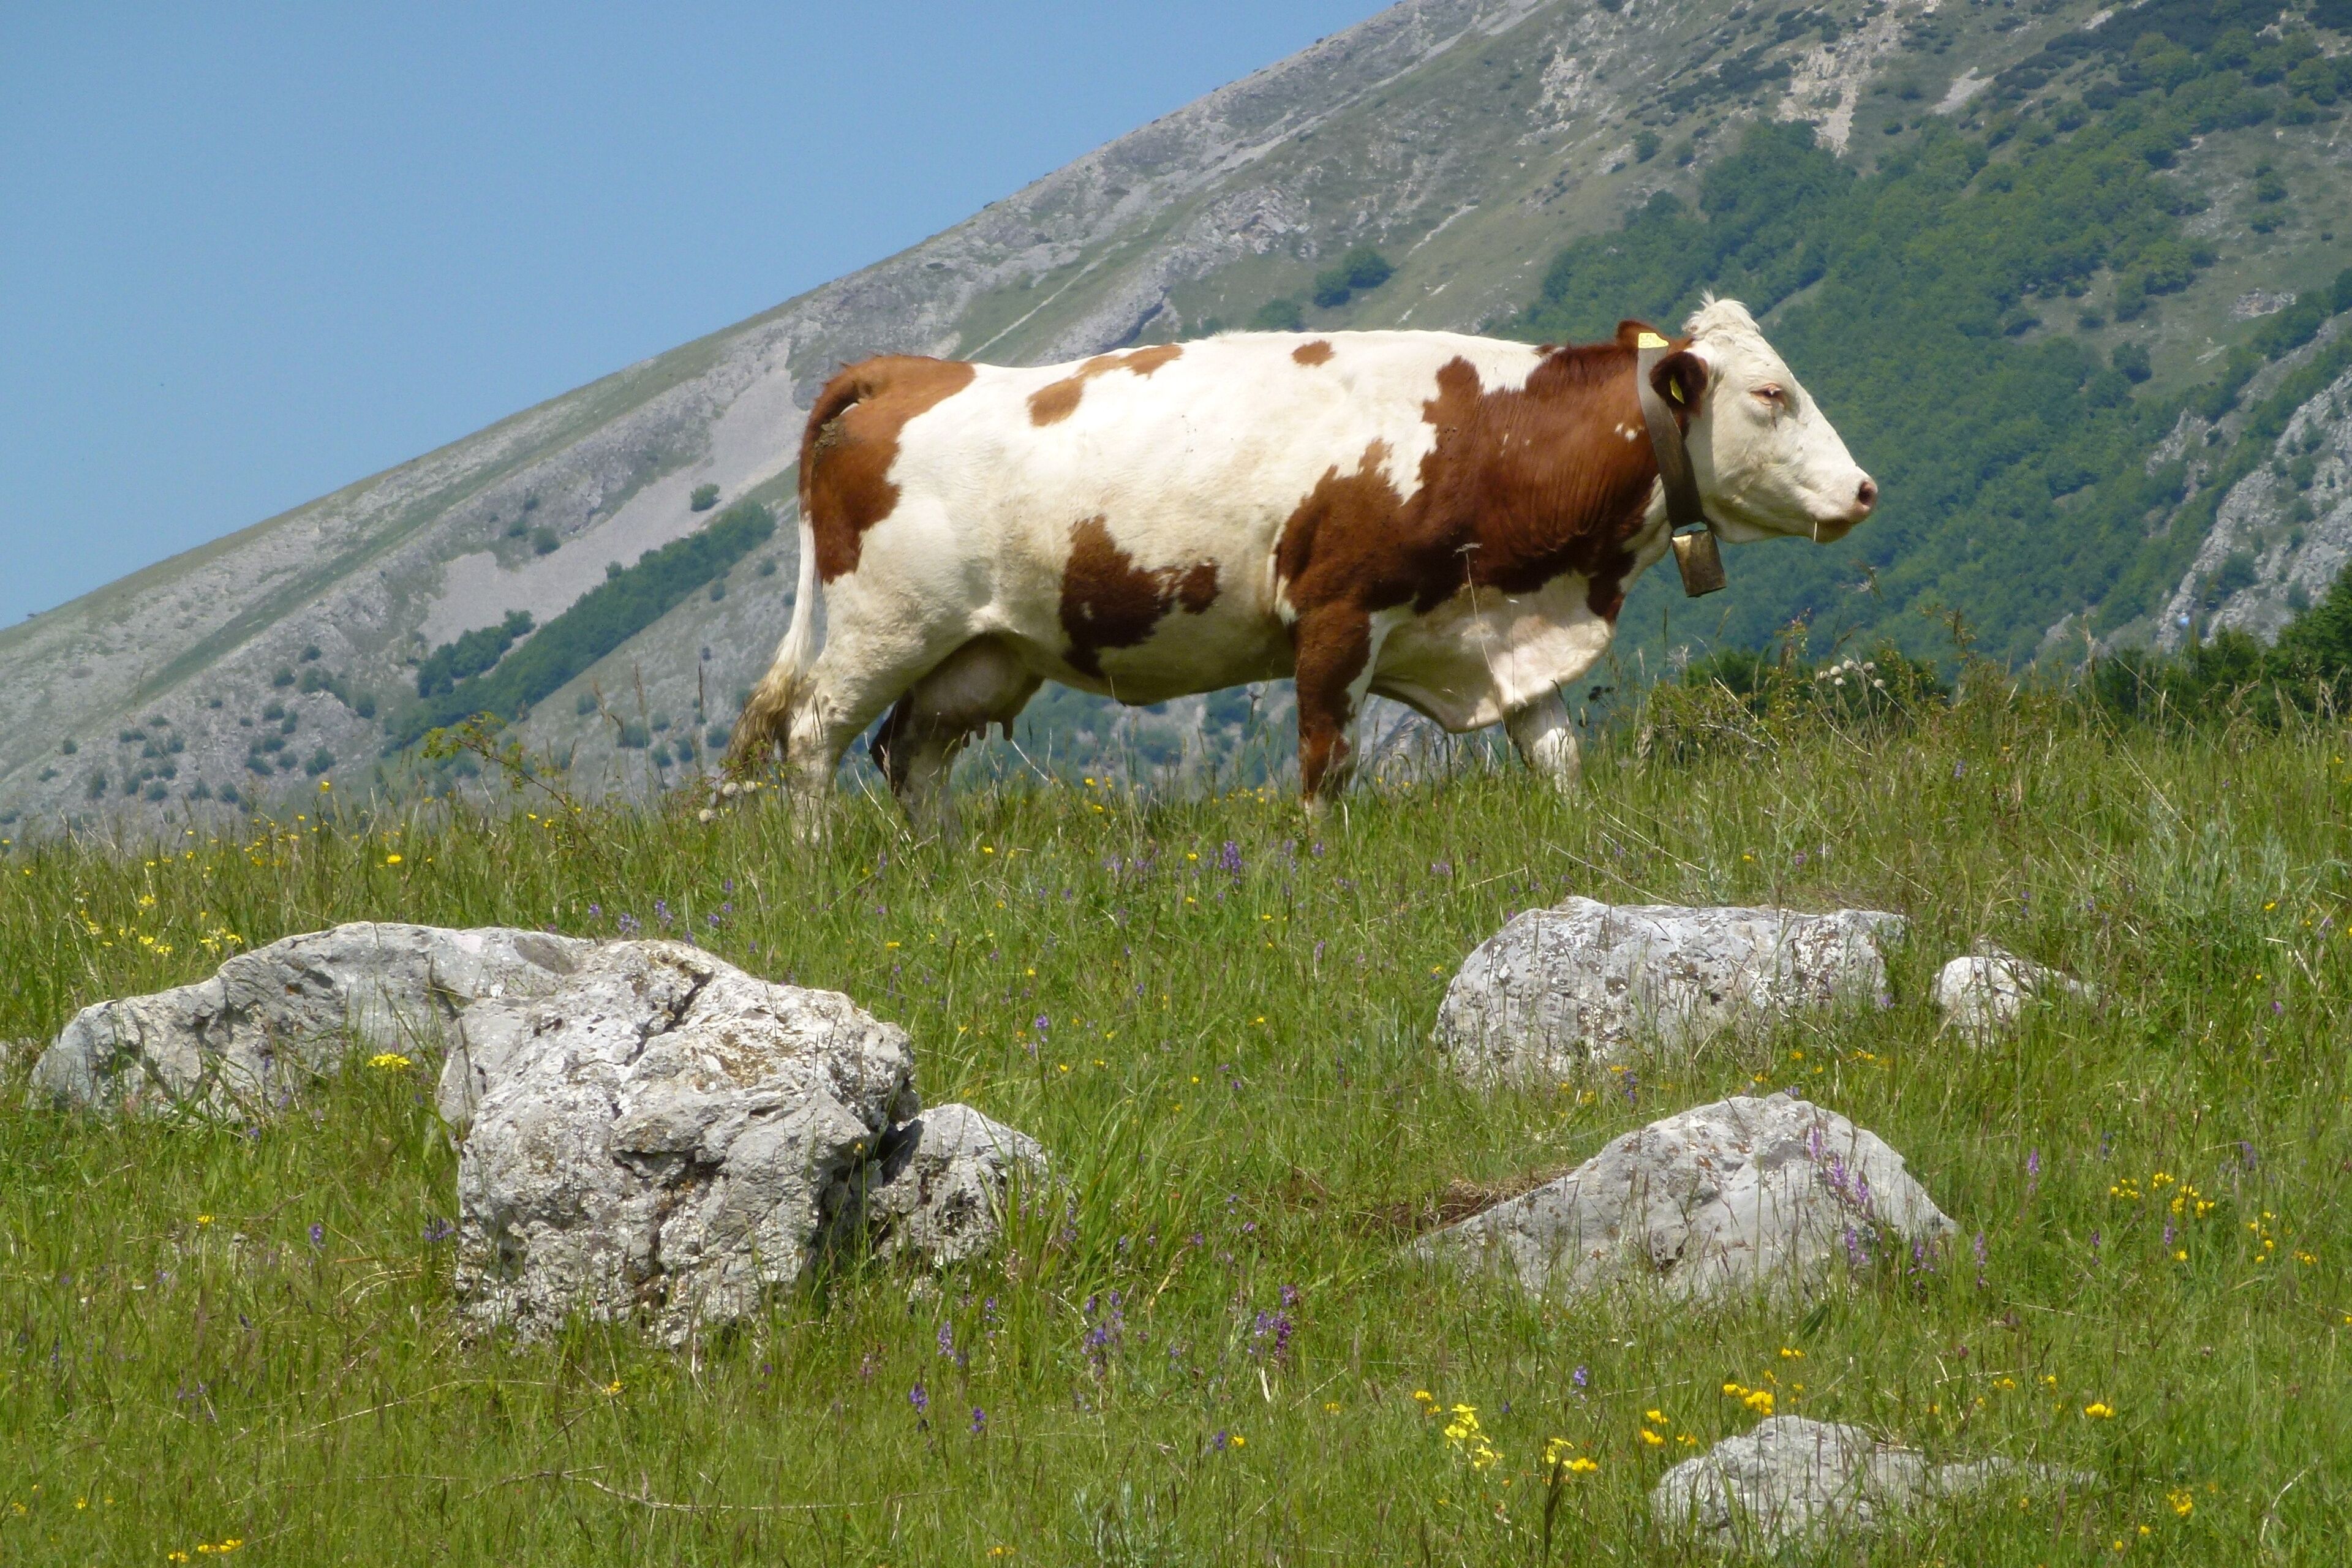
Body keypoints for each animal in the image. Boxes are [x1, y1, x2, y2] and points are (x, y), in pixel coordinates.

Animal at [726, 297, 1875, 831]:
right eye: (1771, 393)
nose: (1866, 489)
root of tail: (911, 371)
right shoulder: (1338, 615)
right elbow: (1328, 763)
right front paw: (1322, 869)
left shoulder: (1490, 625)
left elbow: (1554, 752)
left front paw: (1577, 838)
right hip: (886, 624)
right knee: (813, 733)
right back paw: (816, 858)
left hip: (984, 651)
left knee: (909, 753)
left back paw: (944, 865)